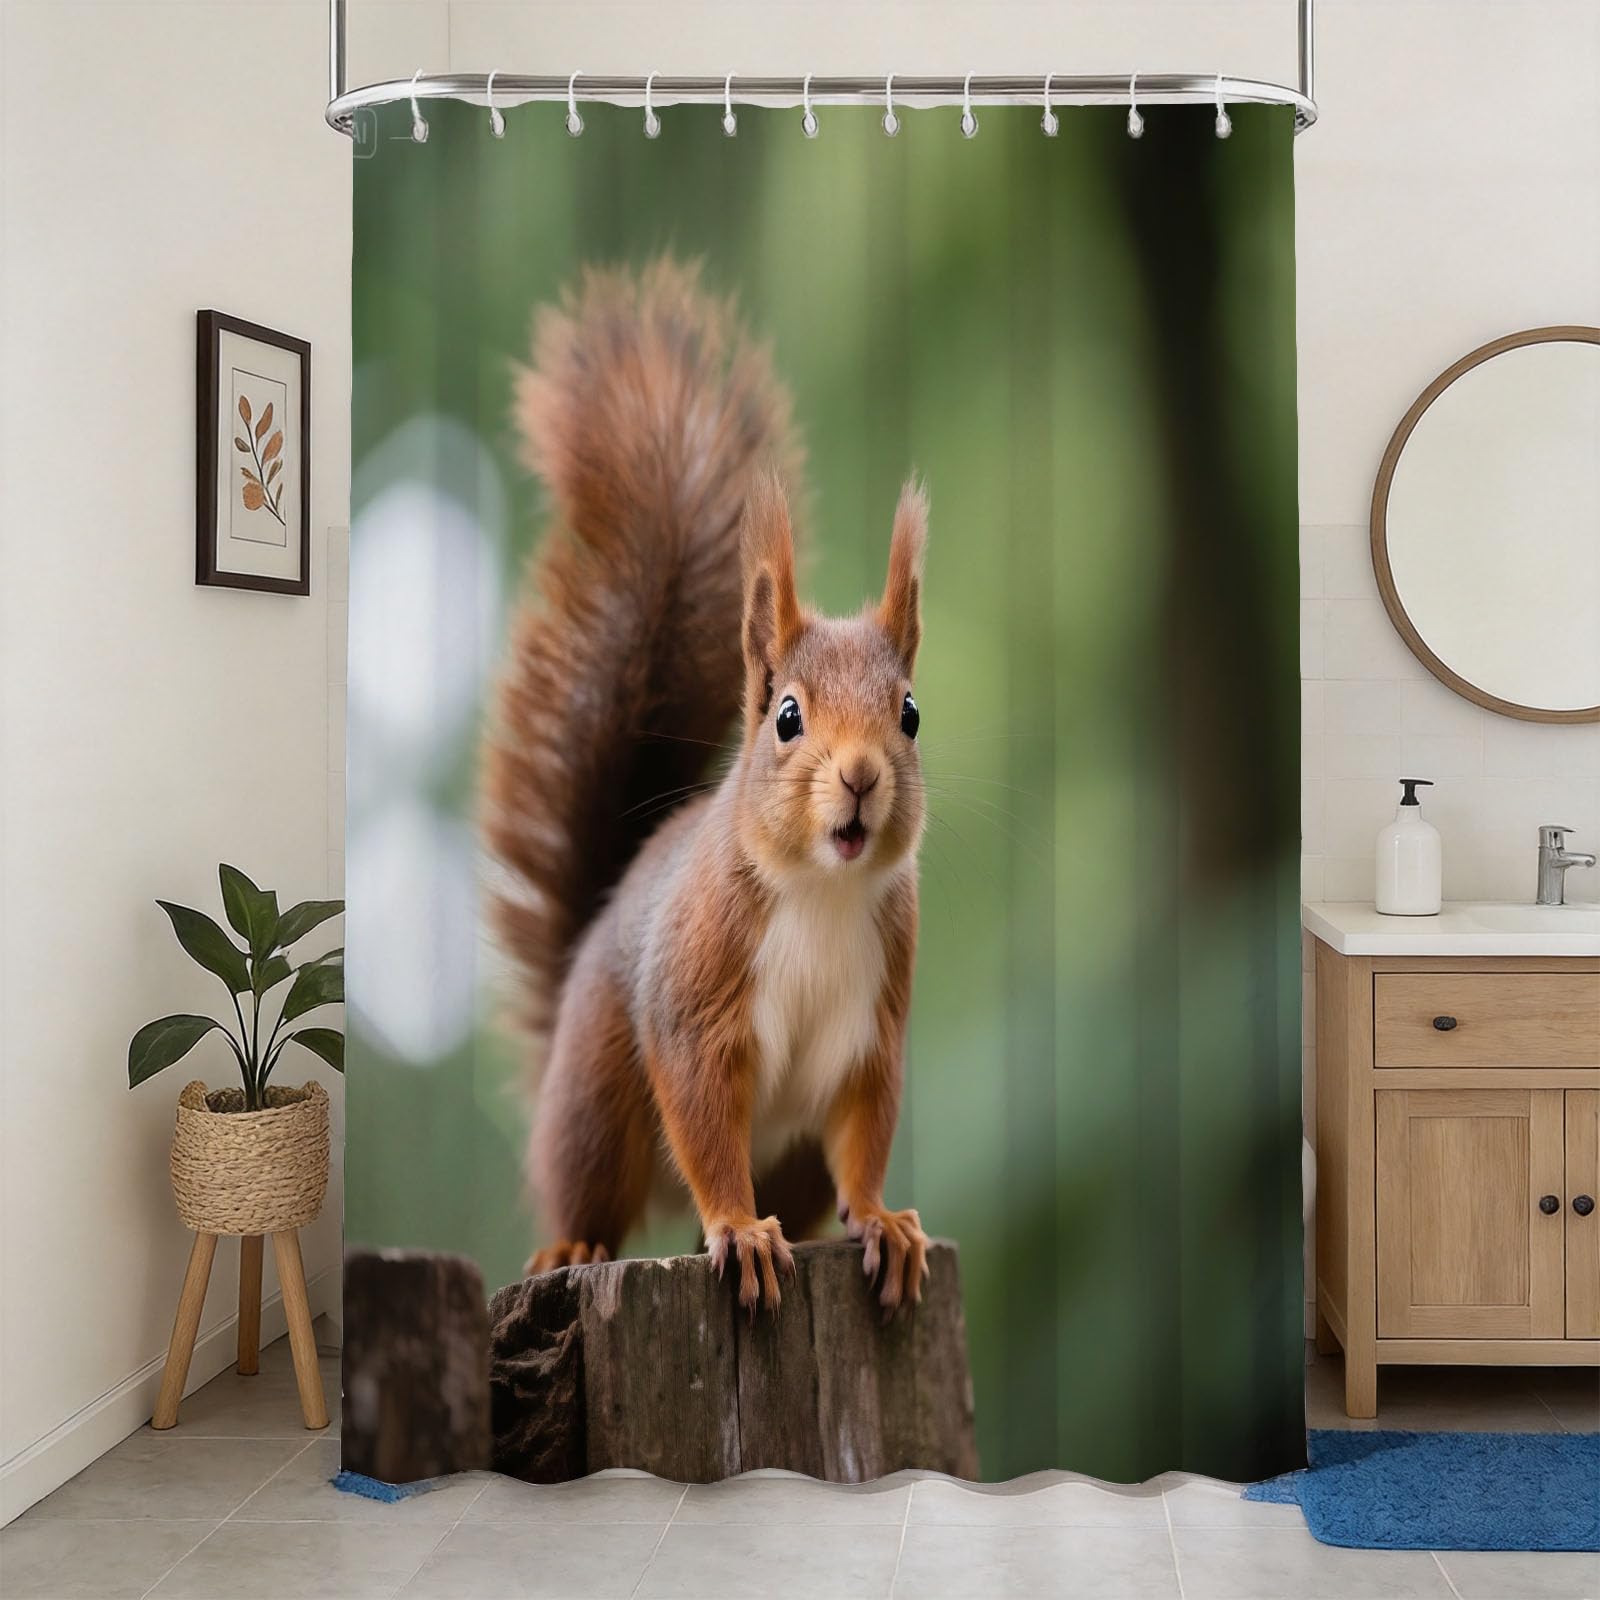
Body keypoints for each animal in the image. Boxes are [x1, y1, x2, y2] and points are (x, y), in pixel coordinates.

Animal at [482, 259, 930, 1313]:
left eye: (910, 714)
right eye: (788, 718)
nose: (859, 777)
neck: (822, 893)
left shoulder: (875, 1029)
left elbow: (866, 1129)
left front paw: (882, 1218)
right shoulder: (698, 995)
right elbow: (702, 1114)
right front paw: (736, 1227)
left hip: (792, 1160)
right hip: (597, 1095)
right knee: (594, 1188)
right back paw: (576, 1246)